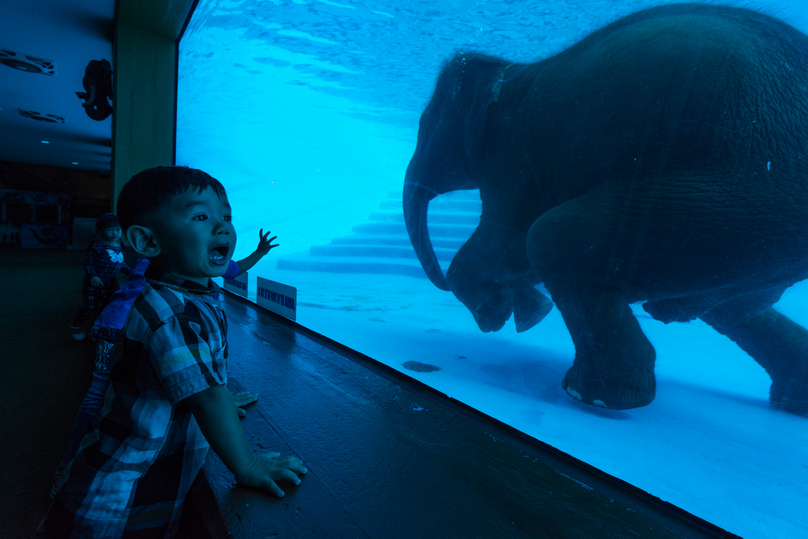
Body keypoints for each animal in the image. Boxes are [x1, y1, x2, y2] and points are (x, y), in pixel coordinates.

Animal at [408, 2, 808, 416]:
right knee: (731, 306)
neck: (513, 70)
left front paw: (504, 313)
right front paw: (527, 311)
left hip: (745, 196)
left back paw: (593, 396)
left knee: (552, 237)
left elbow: (502, 243)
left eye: (424, 123)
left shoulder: (515, 163)